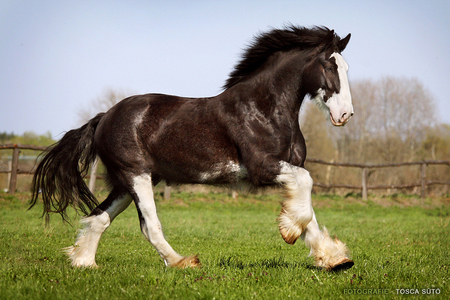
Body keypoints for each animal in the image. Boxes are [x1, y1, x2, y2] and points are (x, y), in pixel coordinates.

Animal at [30, 24, 356, 270]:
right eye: (329, 66)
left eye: (345, 67)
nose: (345, 115)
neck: (264, 109)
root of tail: (104, 118)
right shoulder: (263, 167)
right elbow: (306, 187)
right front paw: (290, 230)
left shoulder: (288, 167)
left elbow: (309, 209)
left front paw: (334, 259)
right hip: (136, 176)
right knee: (149, 226)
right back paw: (182, 262)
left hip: (127, 183)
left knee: (98, 218)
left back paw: (84, 262)